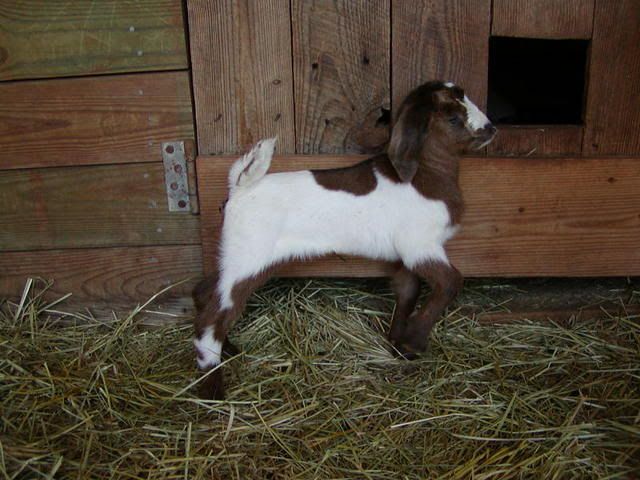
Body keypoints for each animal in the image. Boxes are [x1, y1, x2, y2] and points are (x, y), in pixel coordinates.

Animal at [193, 81, 496, 399]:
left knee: (205, 292)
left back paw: (229, 348)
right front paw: (413, 342)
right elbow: (451, 282)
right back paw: (212, 387)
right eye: (453, 118)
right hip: (250, 257)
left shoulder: (405, 254)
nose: (490, 128)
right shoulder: (421, 246)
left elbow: (408, 290)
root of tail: (240, 187)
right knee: (213, 315)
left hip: (236, 255)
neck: (424, 175)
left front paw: (397, 344)